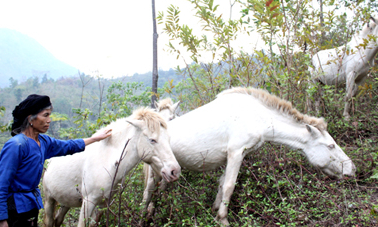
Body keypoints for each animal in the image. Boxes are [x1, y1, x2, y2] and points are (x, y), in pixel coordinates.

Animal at [42, 107, 182, 227]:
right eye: (152, 140)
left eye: (168, 138)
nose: (174, 171)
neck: (106, 160)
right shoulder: (88, 202)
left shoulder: (103, 204)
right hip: (49, 200)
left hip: (66, 201)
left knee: (58, 220)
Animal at [143, 86, 356, 225]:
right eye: (330, 146)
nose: (352, 169)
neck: (256, 116)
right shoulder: (236, 153)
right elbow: (230, 186)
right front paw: (223, 219)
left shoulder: (233, 157)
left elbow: (222, 184)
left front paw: (214, 211)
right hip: (154, 172)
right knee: (148, 191)